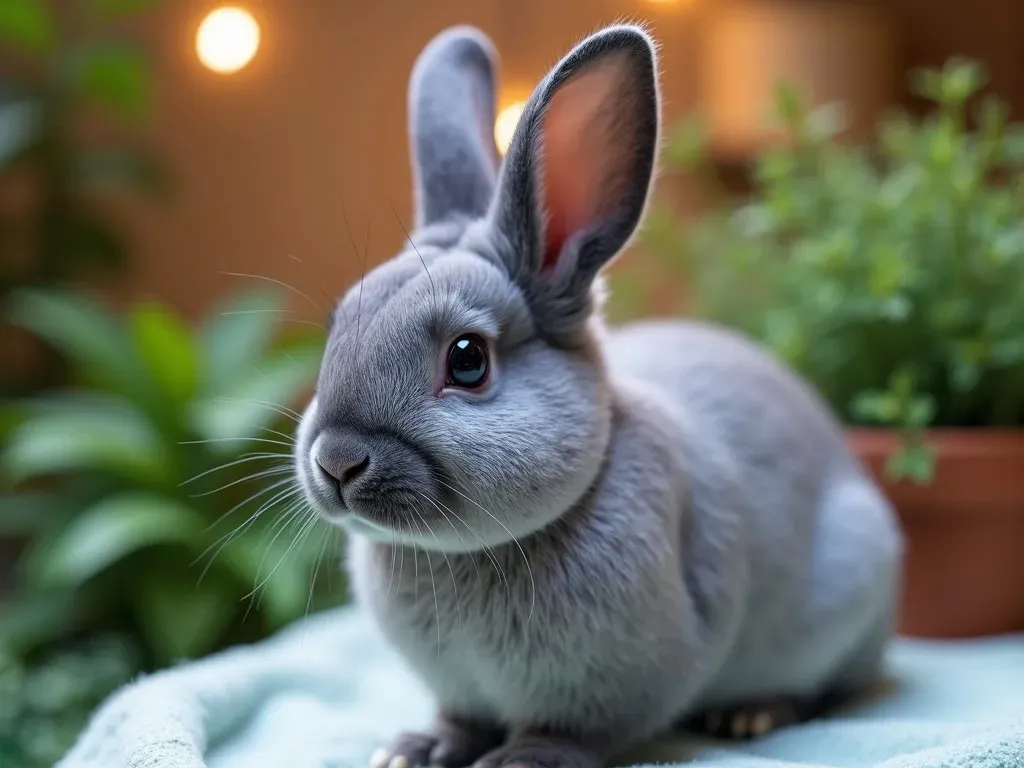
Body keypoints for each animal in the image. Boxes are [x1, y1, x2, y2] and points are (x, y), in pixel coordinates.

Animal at [292, 20, 901, 768]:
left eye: (468, 361)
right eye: (339, 323)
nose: (337, 462)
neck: (469, 551)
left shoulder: (613, 687)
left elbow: (574, 730)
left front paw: (522, 759)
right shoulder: (460, 689)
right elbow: (459, 718)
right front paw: (419, 749)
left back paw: (750, 714)